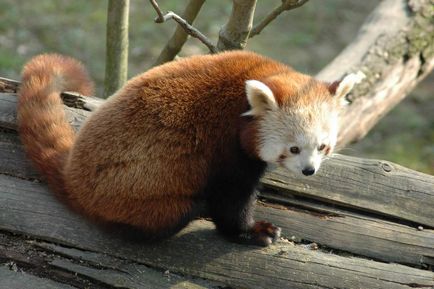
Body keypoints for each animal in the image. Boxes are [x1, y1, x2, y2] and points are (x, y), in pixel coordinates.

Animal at [17, 50, 362, 244]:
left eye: (323, 146)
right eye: (292, 149)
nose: (309, 171)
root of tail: (72, 175)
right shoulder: (224, 145)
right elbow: (230, 198)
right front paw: (252, 231)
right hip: (133, 194)